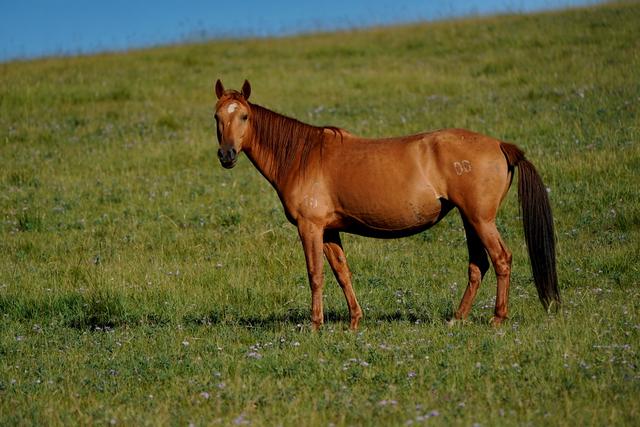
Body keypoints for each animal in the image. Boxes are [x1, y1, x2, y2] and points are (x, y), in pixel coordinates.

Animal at [212, 79, 556, 332]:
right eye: (217, 117)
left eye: (244, 116)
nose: (227, 155)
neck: (302, 156)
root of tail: (500, 145)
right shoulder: (329, 231)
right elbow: (342, 272)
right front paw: (354, 321)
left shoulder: (310, 228)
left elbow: (315, 274)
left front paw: (315, 325)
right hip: (469, 219)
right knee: (478, 265)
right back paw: (457, 318)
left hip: (481, 220)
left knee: (501, 259)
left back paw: (497, 318)